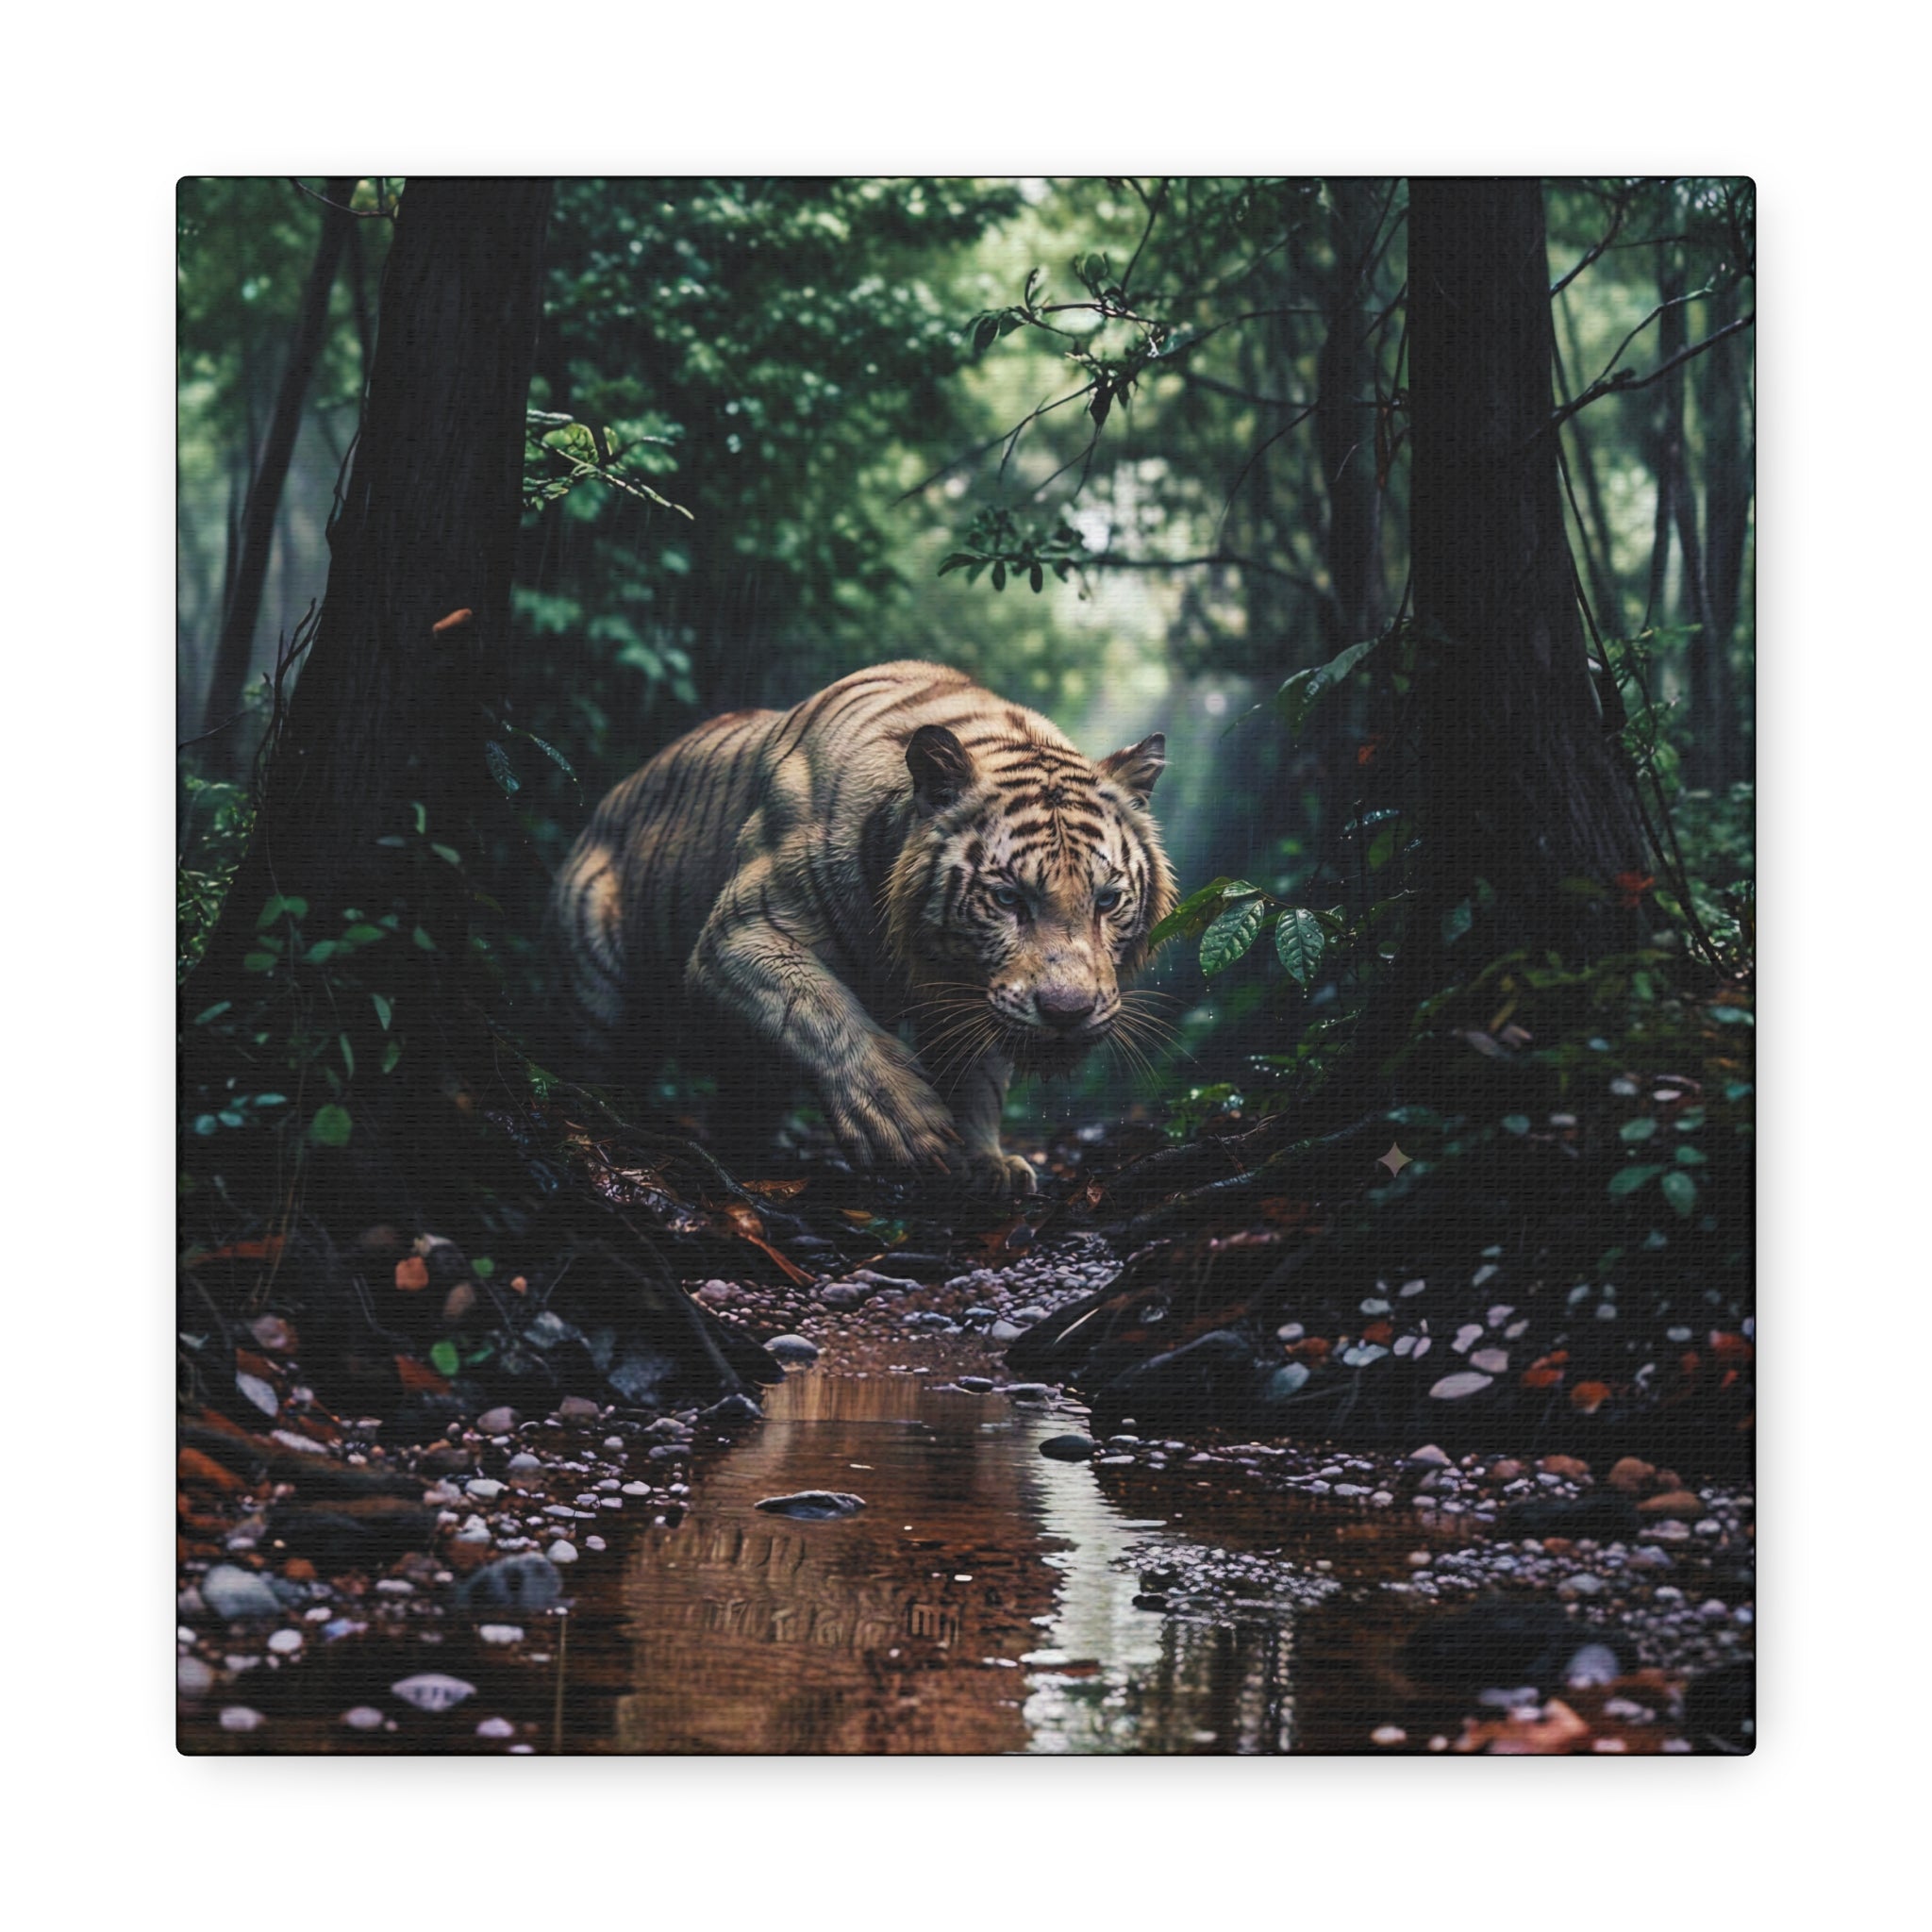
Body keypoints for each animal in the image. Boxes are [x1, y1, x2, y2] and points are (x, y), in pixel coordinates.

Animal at [549, 661, 1176, 1197]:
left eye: (1108, 900)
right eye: (1007, 899)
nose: (1068, 1013)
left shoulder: (978, 997)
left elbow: (979, 1077)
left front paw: (987, 1162)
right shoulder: (740, 935)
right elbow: (817, 1010)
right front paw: (905, 1123)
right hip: (597, 990)